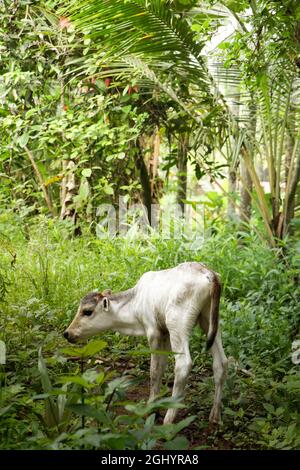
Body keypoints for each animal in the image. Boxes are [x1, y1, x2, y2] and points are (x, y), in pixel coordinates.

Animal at [63, 262, 227, 424]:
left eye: (87, 311)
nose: (67, 333)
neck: (135, 304)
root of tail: (208, 273)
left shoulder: (153, 331)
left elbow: (154, 370)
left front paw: (151, 407)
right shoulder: (164, 333)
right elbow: (162, 366)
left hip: (177, 324)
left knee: (183, 364)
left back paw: (169, 419)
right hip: (209, 321)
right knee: (221, 362)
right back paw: (215, 415)